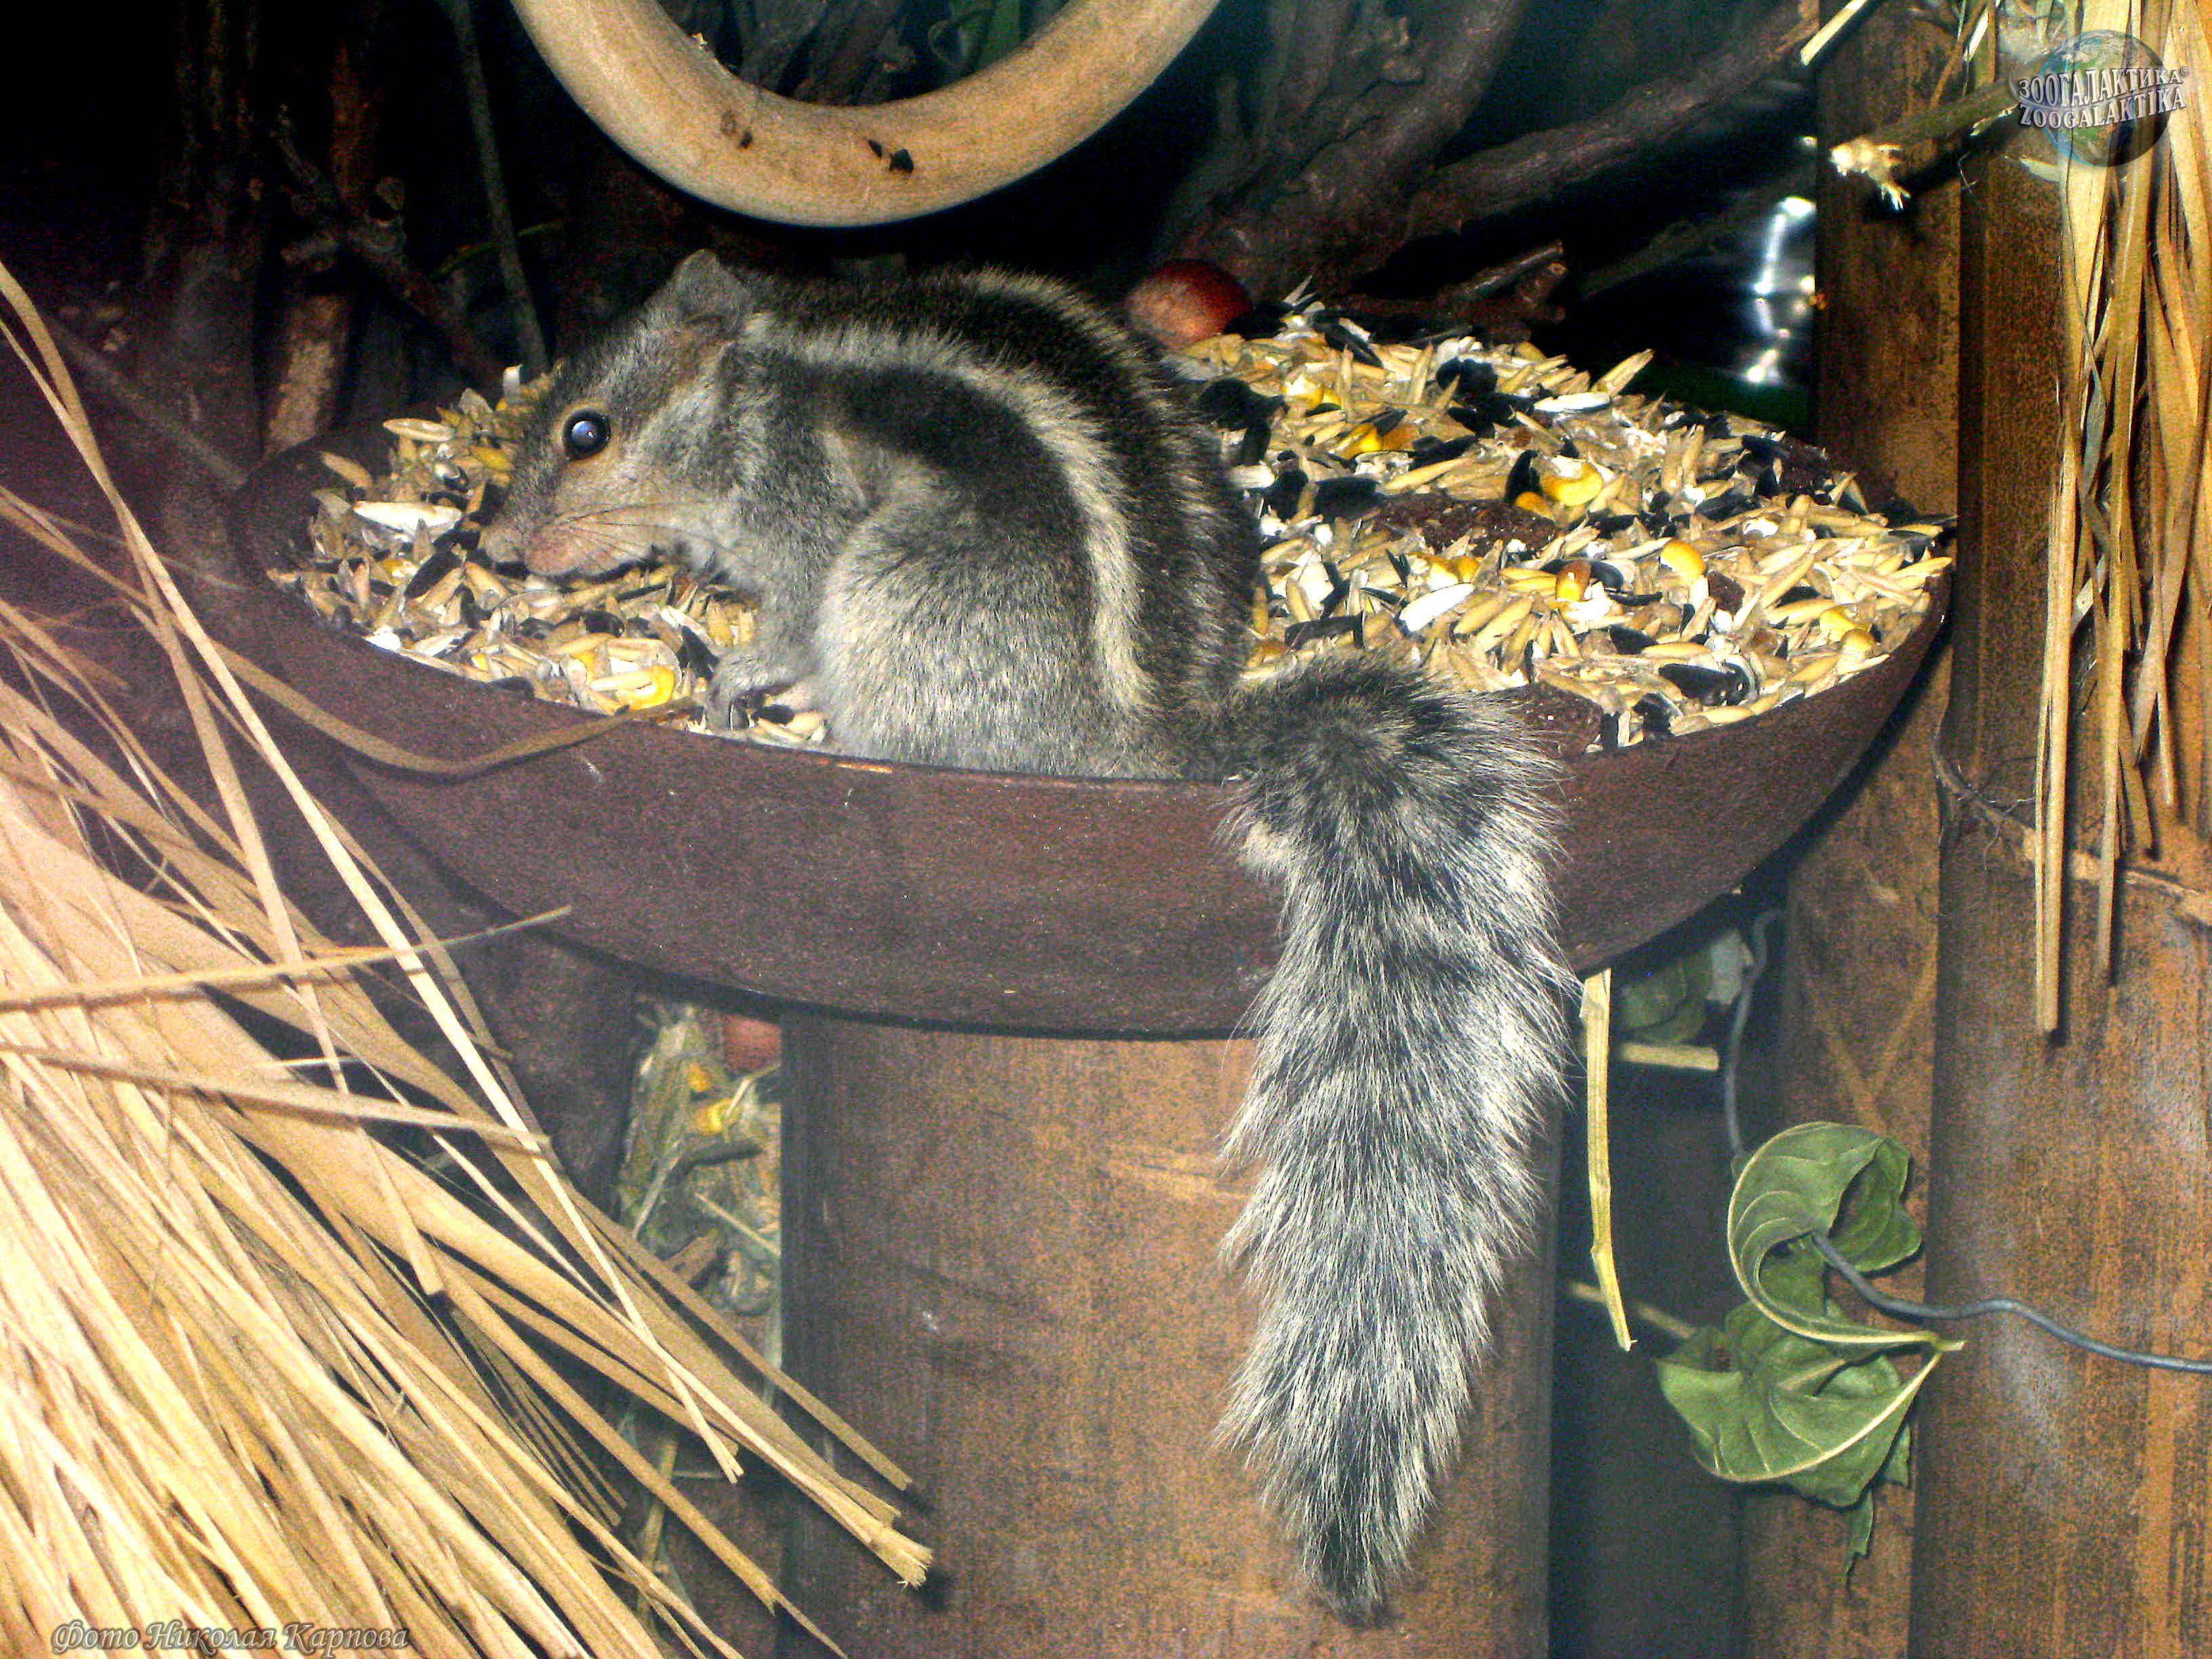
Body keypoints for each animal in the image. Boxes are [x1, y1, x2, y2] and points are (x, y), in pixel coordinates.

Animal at [483, 249, 1573, 1624]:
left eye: (588, 432)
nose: (498, 545)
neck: (755, 388)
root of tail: (1151, 739)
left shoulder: (807, 536)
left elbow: (781, 625)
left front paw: (735, 679)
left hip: (891, 595)